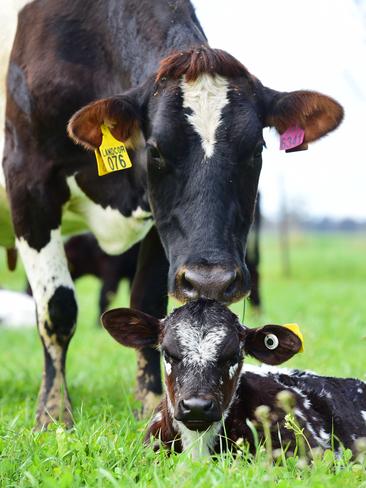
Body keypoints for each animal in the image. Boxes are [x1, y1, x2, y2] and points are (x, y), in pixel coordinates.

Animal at [0, 0, 344, 428]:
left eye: (256, 149)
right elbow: (57, 309)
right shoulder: (29, 183)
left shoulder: (161, 225)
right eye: (156, 150)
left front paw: (149, 402)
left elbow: (148, 304)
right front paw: (53, 413)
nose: (212, 280)